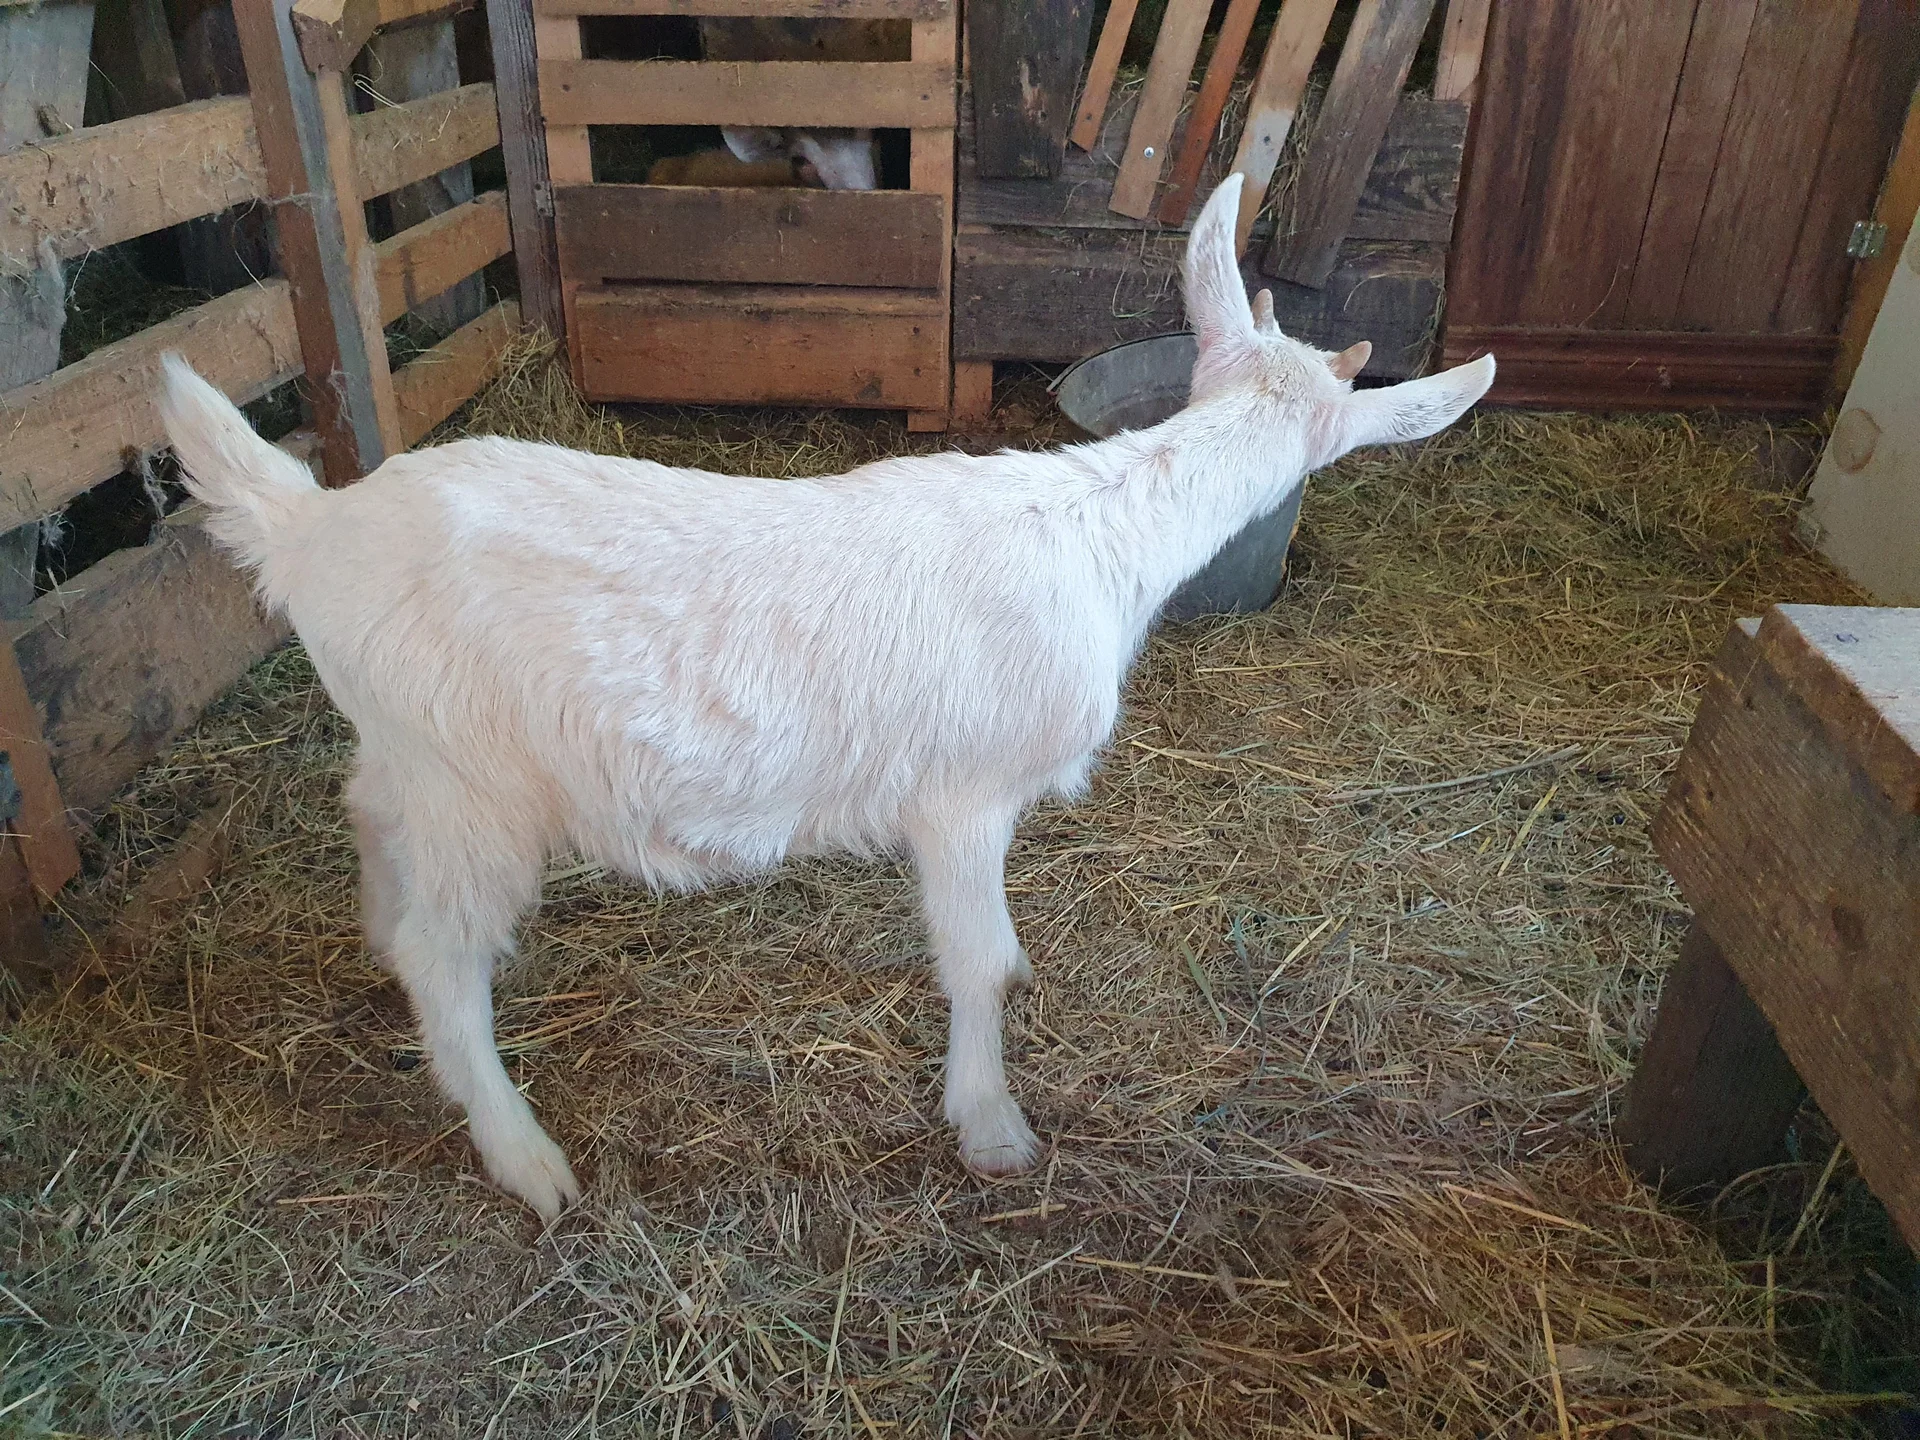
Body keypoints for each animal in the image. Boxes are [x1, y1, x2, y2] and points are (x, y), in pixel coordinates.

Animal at [156, 175, 1495, 1222]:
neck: (1100, 532)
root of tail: (309, 531)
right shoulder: (963, 797)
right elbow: (981, 963)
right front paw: (993, 1131)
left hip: (416, 756)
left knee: (369, 816)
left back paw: (378, 941)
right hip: (476, 784)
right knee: (447, 959)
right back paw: (527, 1158)